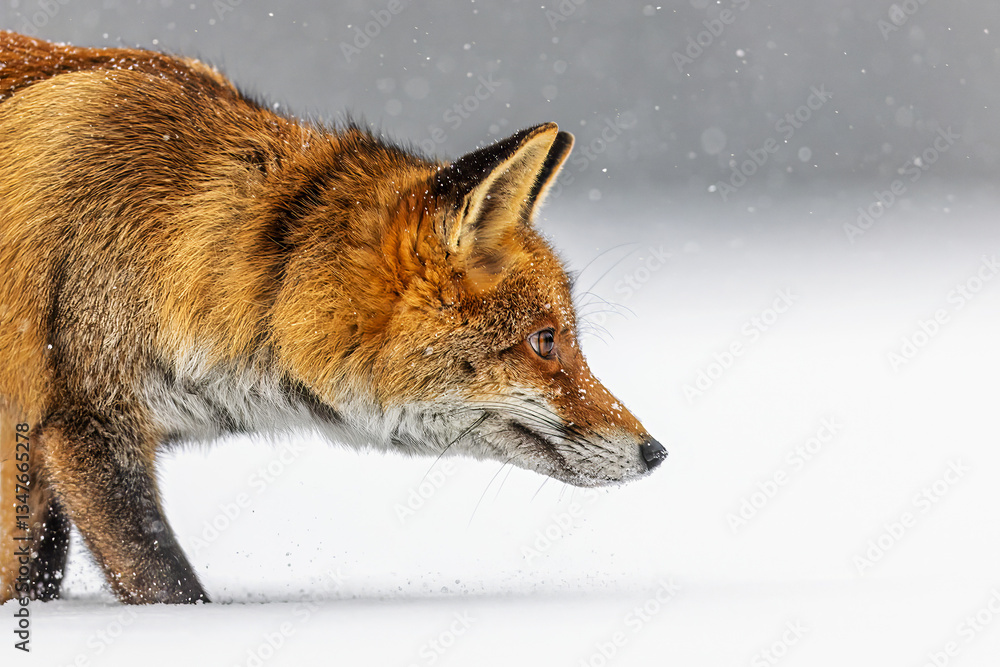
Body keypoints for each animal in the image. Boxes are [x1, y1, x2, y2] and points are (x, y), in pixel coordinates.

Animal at [0, 31, 666, 605]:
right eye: (545, 341)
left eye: (564, 339)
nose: (656, 451)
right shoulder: (82, 423)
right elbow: (166, 584)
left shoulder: (42, 449)